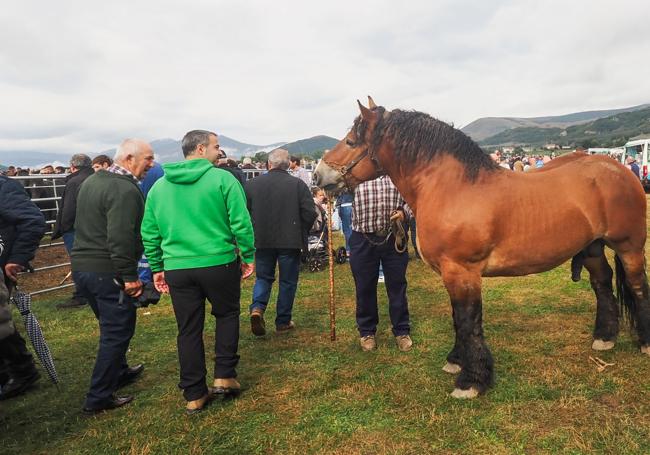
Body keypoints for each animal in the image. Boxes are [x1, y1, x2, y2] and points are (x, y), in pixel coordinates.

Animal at [312, 97, 644, 400]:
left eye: (351, 140)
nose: (317, 176)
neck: (453, 187)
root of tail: (618, 169)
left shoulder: (462, 271)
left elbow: (468, 320)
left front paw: (471, 381)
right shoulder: (451, 274)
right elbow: (458, 320)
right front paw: (456, 362)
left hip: (629, 247)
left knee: (637, 286)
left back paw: (644, 342)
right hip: (592, 248)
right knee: (602, 283)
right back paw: (605, 338)